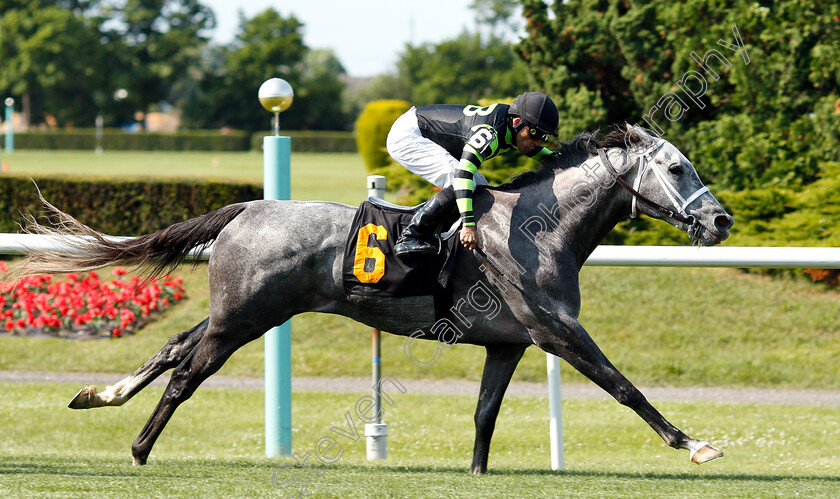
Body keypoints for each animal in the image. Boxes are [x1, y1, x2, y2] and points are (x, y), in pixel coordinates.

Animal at [23, 125, 736, 472]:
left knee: (175, 345)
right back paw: (140, 448)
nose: (721, 220)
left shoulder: (508, 344)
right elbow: (624, 387)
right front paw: (694, 444)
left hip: (240, 311)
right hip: (244, 318)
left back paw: (101, 395)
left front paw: (477, 474)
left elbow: (484, 416)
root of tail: (246, 206)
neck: (540, 228)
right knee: (187, 375)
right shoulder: (558, 332)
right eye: (677, 168)